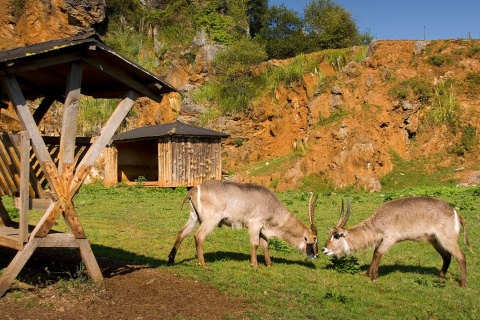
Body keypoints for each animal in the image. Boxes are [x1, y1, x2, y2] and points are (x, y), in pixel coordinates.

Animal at [168, 180, 318, 268]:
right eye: (315, 240)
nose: (316, 255)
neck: (273, 206)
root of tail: (194, 190)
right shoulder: (254, 224)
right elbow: (255, 244)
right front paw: (255, 264)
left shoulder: (262, 229)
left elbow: (265, 244)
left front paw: (269, 264)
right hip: (210, 220)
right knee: (198, 236)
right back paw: (202, 263)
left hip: (194, 218)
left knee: (182, 233)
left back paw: (171, 259)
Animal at [322, 196, 472, 286]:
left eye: (336, 235)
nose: (324, 249)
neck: (380, 219)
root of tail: (456, 213)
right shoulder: (381, 240)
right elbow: (375, 254)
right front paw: (368, 273)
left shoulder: (390, 239)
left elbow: (378, 254)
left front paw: (374, 277)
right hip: (435, 240)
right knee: (447, 256)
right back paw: (440, 276)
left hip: (447, 239)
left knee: (461, 256)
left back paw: (462, 283)